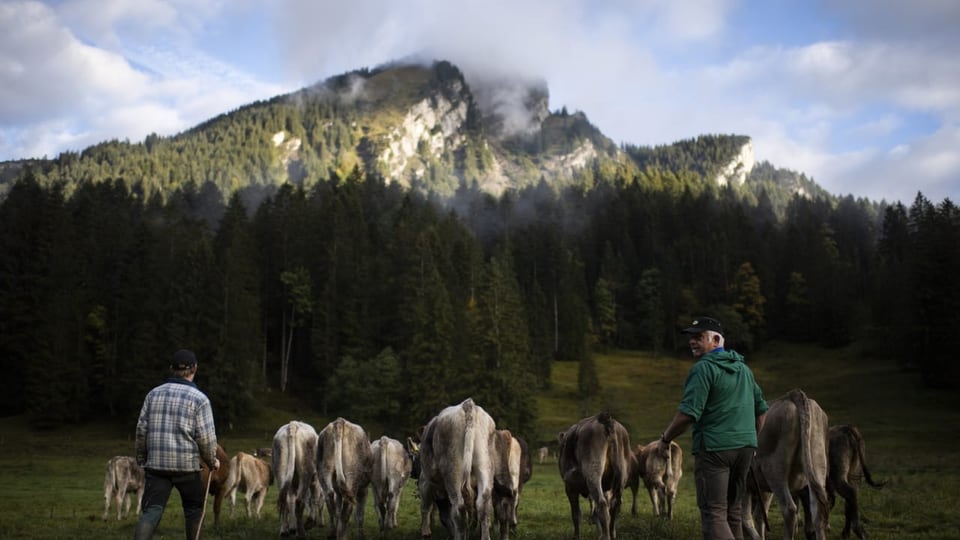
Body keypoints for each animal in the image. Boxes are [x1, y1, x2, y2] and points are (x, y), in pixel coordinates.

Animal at [418, 396, 498, 540]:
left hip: (452, 470)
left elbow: (426, 508)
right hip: (486, 464)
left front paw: (426, 532)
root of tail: (467, 404)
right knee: (483, 505)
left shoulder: (424, 482)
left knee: (459, 509)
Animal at [744, 390, 832, 540]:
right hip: (817, 463)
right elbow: (758, 515)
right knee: (817, 509)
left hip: (774, 470)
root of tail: (791, 395)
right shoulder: (760, 487)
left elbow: (745, 518)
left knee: (789, 509)